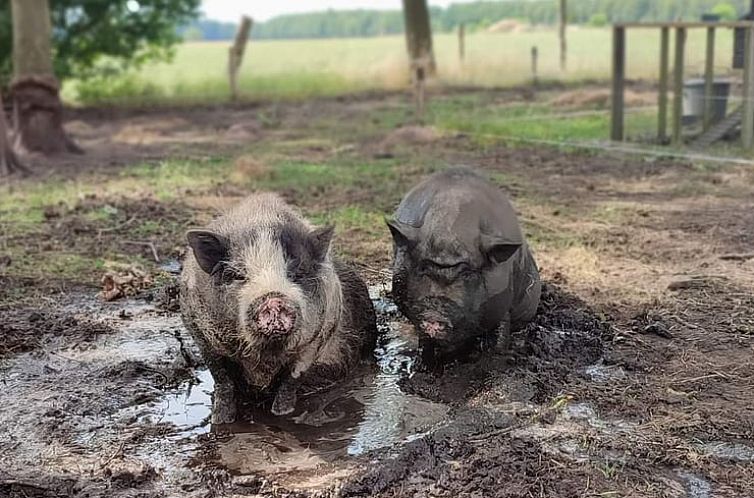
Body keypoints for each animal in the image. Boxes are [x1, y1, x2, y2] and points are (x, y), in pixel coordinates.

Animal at [177, 193, 376, 422]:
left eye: (297, 273)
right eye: (238, 275)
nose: (273, 299)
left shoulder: (318, 337)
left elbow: (291, 380)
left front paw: (282, 415)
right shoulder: (201, 335)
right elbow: (222, 380)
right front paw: (220, 420)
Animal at [384, 167, 536, 366]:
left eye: (467, 273)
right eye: (423, 267)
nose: (435, 317)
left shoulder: (502, 304)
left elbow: (500, 336)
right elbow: (425, 343)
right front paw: (422, 364)